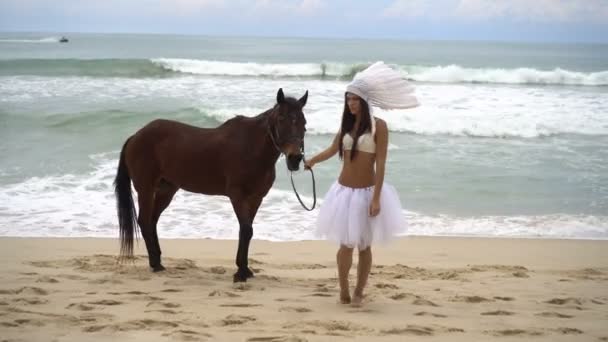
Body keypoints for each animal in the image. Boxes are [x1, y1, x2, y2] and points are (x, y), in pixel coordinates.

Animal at [114, 87, 308, 280]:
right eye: (281, 119)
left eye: (304, 123)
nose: (295, 158)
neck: (251, 148)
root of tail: (136, 136)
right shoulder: (237, 196)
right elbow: (245, 229)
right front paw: (241, 273)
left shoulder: (256, 198)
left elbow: (247, 231)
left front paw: (245, 269)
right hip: (145, 189)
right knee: (145, 221)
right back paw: (155, 264)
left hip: (166, 190)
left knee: (153, 220)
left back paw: (158, 261)